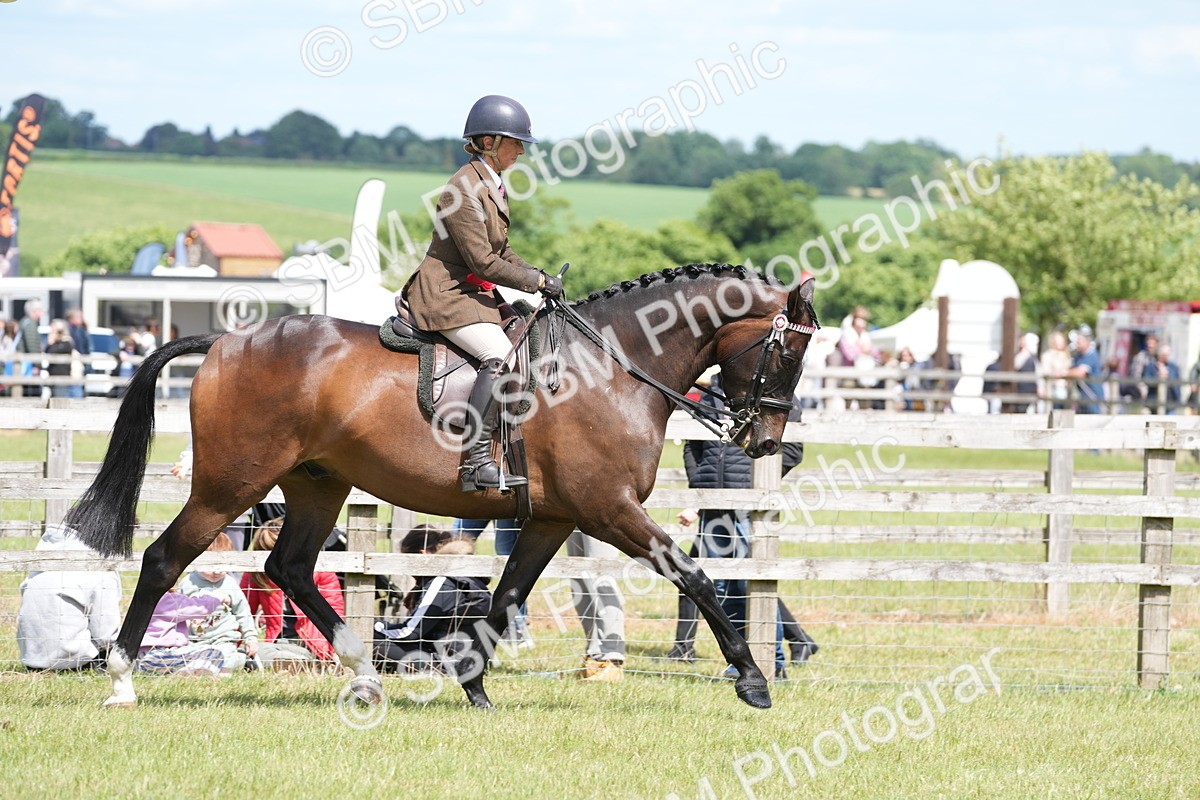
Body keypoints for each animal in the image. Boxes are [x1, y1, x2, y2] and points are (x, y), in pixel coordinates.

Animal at [65, 263, 818, 710]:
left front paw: (474, 684)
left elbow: (507, 596)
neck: (613, 367)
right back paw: (122, 680)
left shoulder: (552, 518)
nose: (766, 441)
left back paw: (364, 672)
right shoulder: (609, 510)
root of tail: (225, 341)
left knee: (290, 567)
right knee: (164, 559)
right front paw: (752, 680)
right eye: (788, 350)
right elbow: (694, 576)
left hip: (316, 485)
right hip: (231, 484)